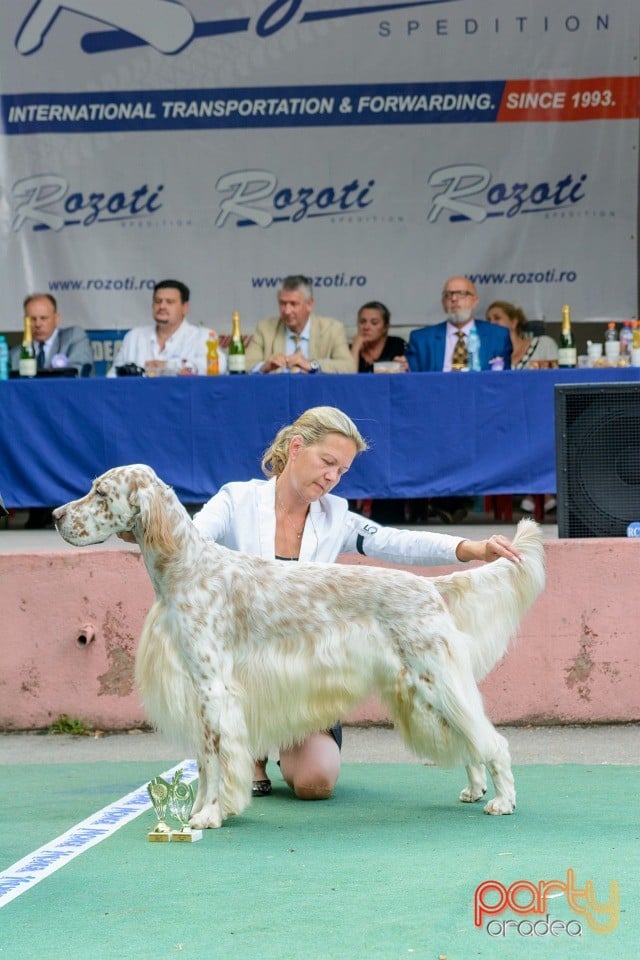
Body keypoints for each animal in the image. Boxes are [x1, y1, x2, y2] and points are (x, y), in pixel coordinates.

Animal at [56, 468, 544, 828]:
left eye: (100, 491)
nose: (58, 515)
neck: (187, 567)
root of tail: (428, 585)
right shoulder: (197, 690)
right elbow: (205, 761)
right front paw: (195, 812)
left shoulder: (214, 690)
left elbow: (217, 759)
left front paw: (209, 815)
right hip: (422, 686)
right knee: (468, 738)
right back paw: (475, 789)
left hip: (437, 676)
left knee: (492, 740)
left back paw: (503, 801)